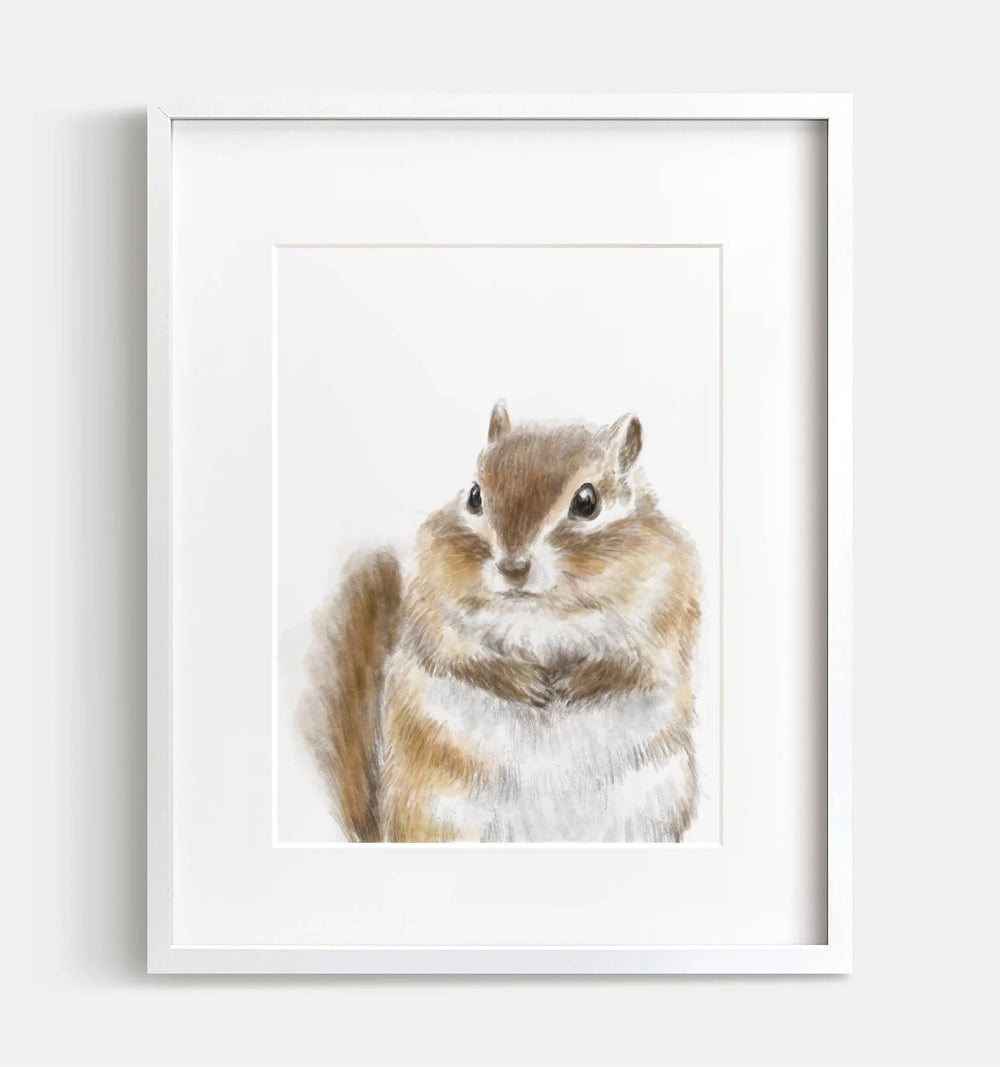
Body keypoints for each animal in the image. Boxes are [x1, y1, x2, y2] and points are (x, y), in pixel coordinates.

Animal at [299, 401, 701, 843]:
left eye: (587, 501)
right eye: (475, 495)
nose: (513, 567)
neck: (542, 611)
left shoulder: (667, 611)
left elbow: (637, 665)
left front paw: (578, 681)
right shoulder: (432, 609)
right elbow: (459, 657)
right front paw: (523, 683)